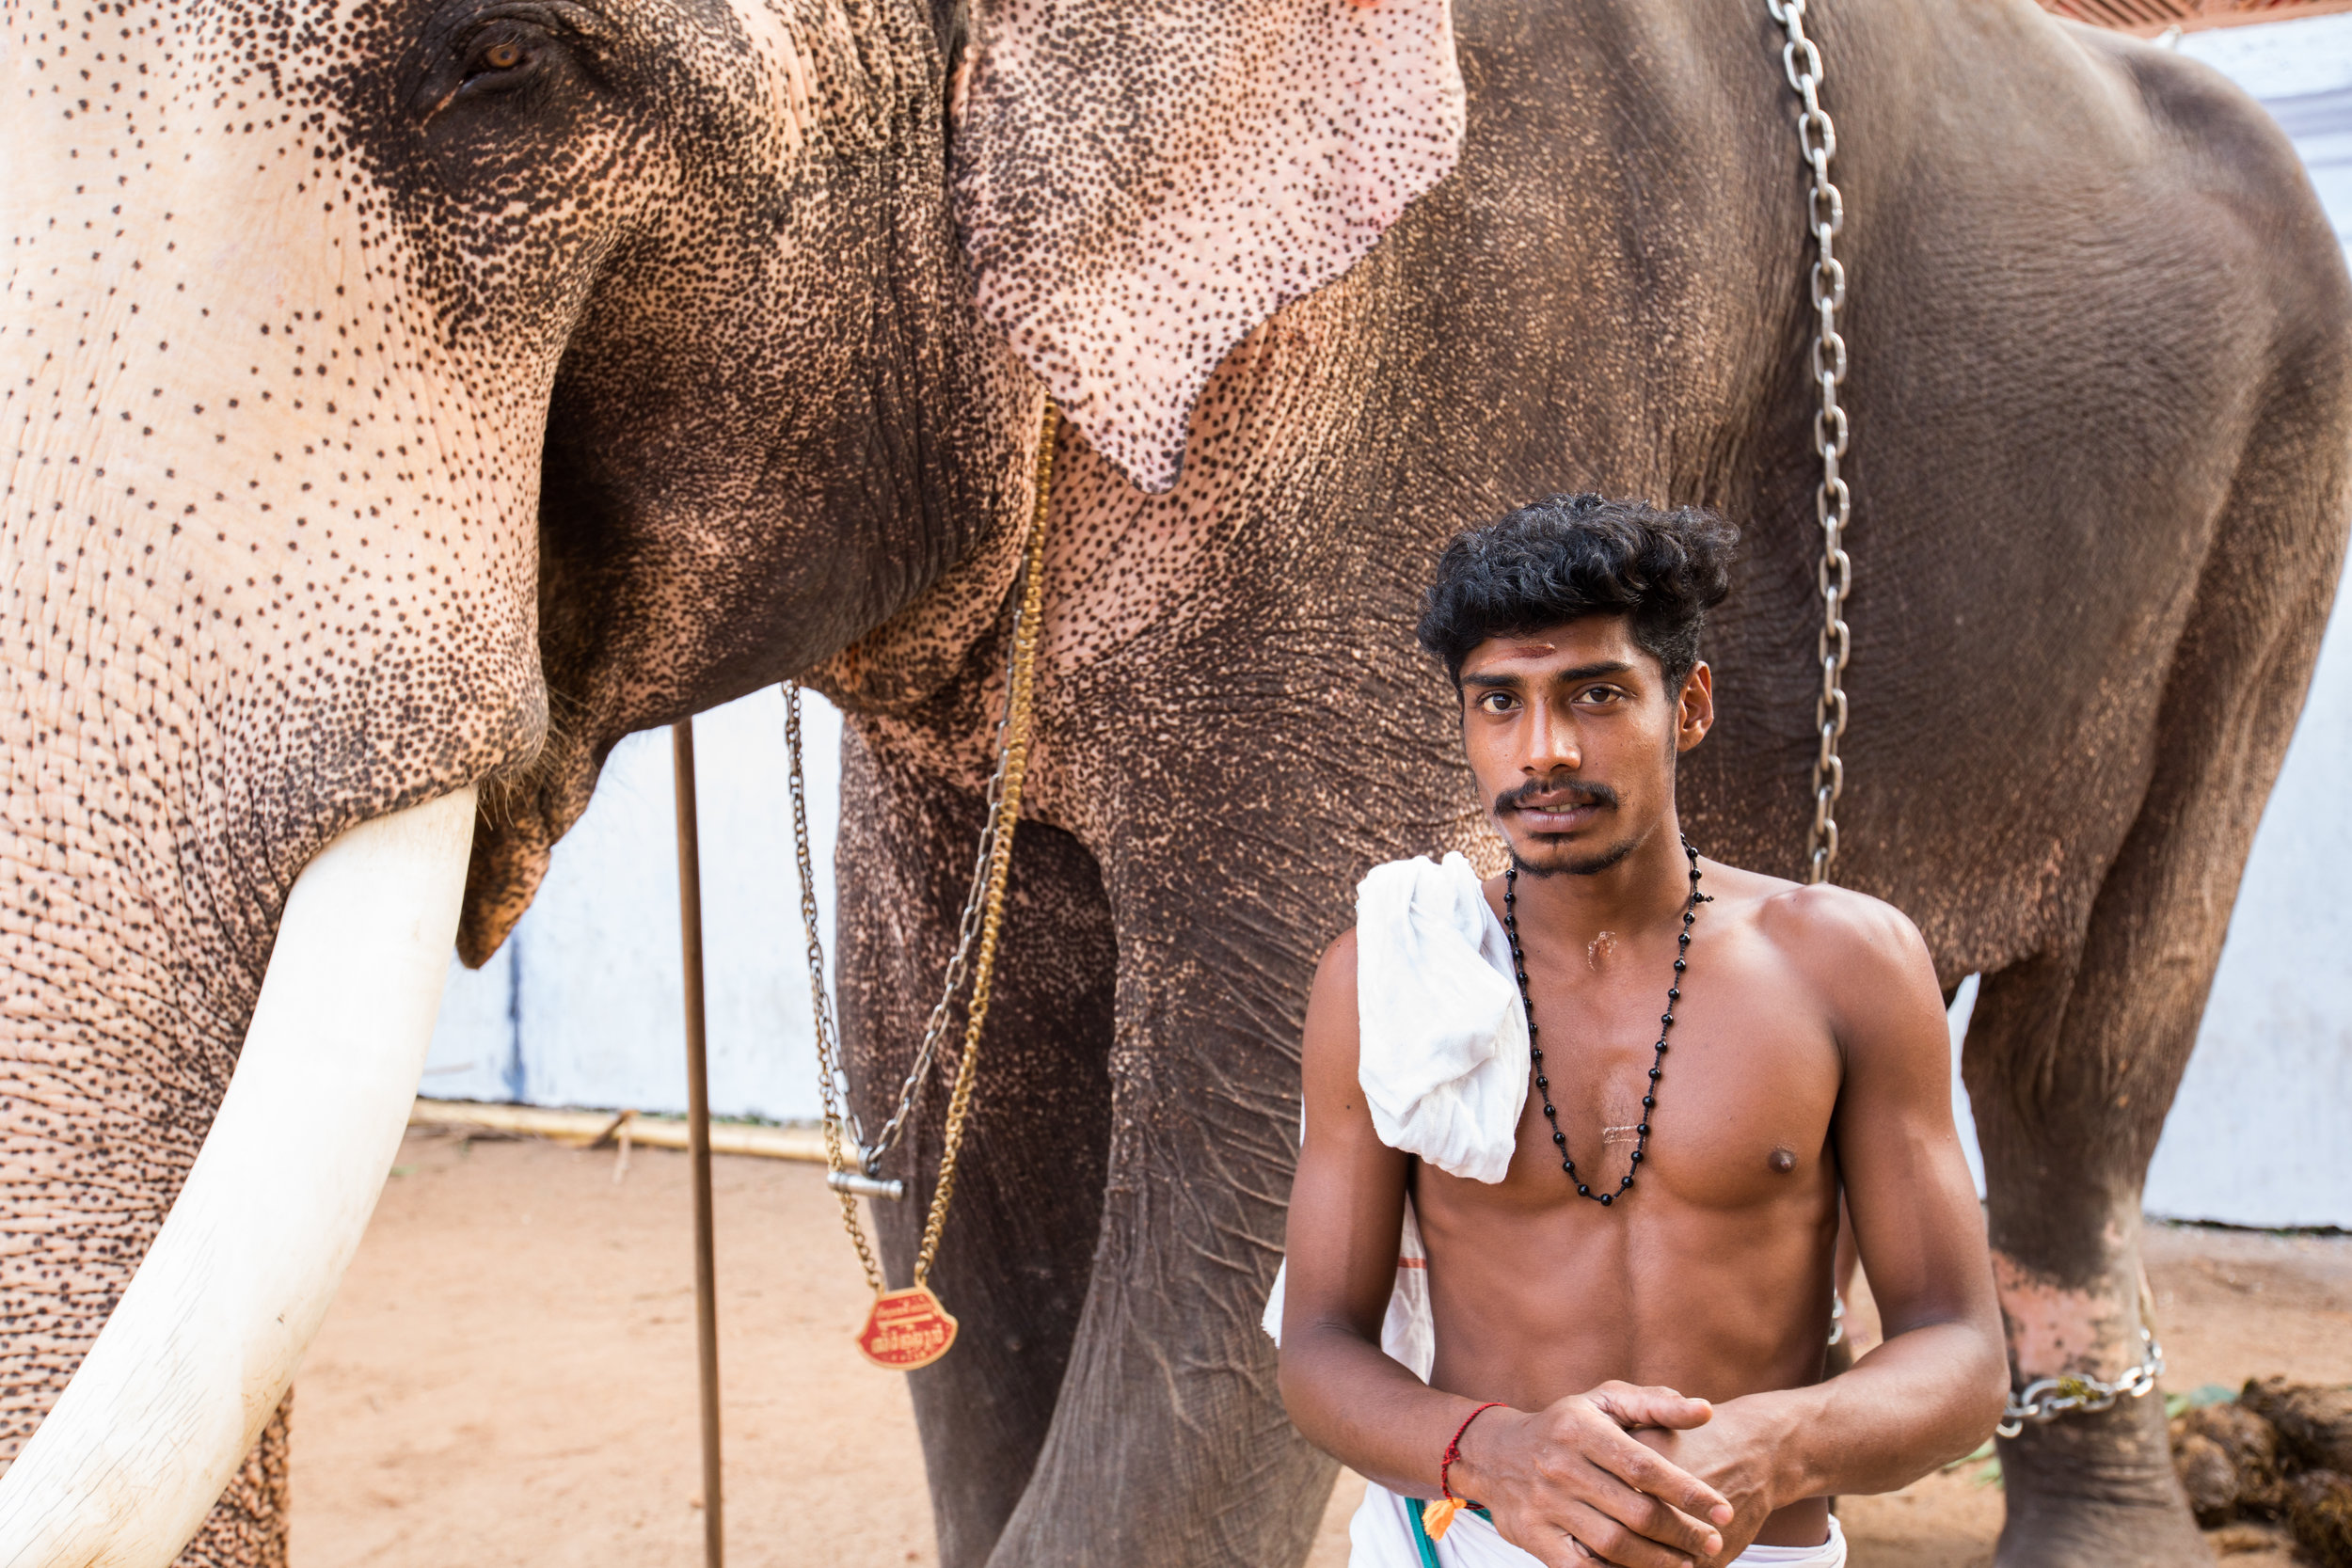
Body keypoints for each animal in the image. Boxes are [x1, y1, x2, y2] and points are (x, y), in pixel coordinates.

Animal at [4, 0, 2352, 1560]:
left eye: (494, 61)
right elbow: (969, 1115)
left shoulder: (1465, 339)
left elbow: (1231, 1187)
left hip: (2271, 497)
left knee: (2086, 1042)